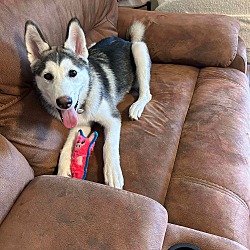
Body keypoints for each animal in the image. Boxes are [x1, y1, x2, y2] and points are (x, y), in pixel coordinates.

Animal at [24, 18, 151, 189]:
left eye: (73, 73)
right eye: (48, 76)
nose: (65, 103)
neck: (83, 103)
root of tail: (125, 40)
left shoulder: (113, 118)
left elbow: (108, 145)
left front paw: (112, 172)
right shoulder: (80, 123)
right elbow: (67, 145)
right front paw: (63, 170)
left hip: (139, 49)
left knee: (147, 92)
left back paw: (136, 106)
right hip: (92, 46)